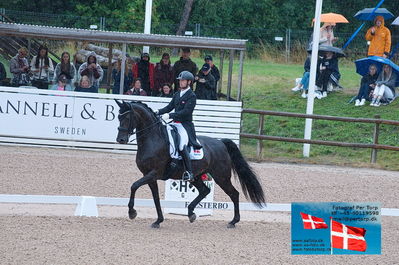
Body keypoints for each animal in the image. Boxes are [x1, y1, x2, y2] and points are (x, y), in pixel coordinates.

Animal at [115, 99, 266, 227]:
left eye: (127, 118)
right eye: (118, 117)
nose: (121, 140)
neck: (152, 139)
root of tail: (220, 142)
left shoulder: (154, 173)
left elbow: (134, 186)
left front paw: (132, 213)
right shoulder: (149, 176)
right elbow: (155, 198)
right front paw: (158, 221)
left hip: (221, 176)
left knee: (234, 194)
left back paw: (233, 221)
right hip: (197, 176)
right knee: (205, 190)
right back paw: (191, 213)